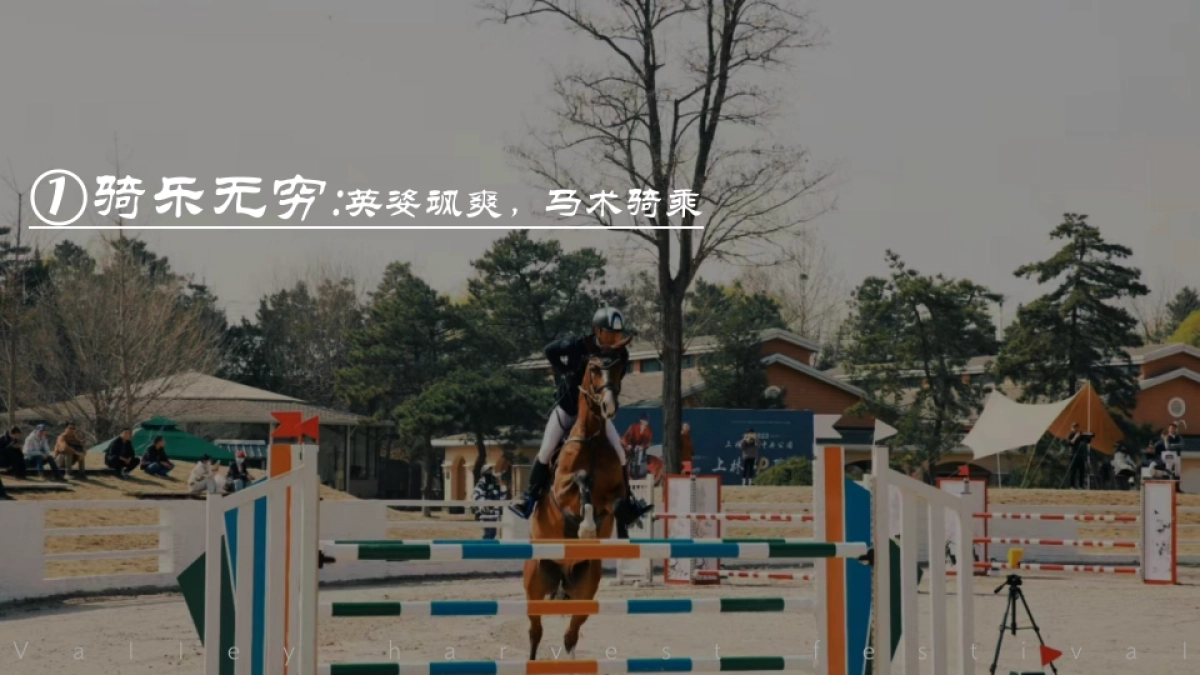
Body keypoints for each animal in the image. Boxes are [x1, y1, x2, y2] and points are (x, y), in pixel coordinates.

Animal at [523, 345, 630, 660]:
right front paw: (585, 527)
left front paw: (611, 522)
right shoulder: (560, 490)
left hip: (586, 589)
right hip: (535, 584)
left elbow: (616, 502)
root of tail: (562, 574)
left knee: (570, 635)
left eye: (620, 369)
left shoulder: (616, 490)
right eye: (593, 369)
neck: (592, 437)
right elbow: (581, 480)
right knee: (535, 631)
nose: (609, 407)